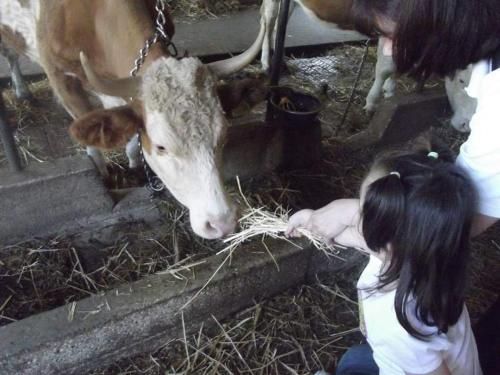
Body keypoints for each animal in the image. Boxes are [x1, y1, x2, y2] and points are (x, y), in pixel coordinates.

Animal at [0, 0, 266, 239]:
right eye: (161, 146)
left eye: (223, 137)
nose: (222, 223)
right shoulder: (60, 77)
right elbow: (90, 138)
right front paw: (103, 174)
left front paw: (135, 165)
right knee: (9, 52)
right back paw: (21, 89)